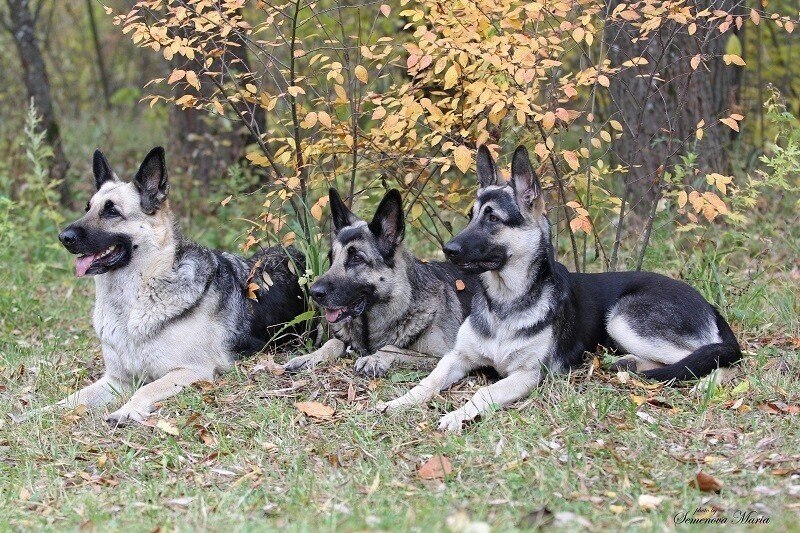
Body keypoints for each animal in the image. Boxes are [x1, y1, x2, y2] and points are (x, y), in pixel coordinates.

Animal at [28, 148, 304, 426]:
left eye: (111, 212)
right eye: (88, 208)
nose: (64, 237)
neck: (134, 300)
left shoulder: (191, 370)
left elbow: (146, 388)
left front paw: (127, 409)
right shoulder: (116, 379)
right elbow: (75, 397)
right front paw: (40, 412)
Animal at [284, 187, 478, 378]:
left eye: (356, 258)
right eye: (332, 258)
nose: (314, 292)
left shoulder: (441, 355)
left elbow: (391, 347)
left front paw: (374, 359)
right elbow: (333, 342)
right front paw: (309, 357)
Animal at [382, 145, 744, 432]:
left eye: (493, 219)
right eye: (470, 216)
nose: (448, 249)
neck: (505, 303)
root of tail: (708, 304)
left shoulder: (528, 375)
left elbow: (484, 392)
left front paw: (457, 416)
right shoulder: (457, 357)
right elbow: (429, 380)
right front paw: (400, 401)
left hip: (624, 319)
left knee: (721, 358)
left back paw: (707, 384)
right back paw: (628, 364)